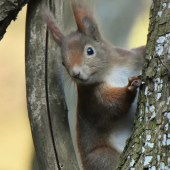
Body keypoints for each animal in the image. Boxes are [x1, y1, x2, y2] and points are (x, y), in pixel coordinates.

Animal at [41, 0, 145, 169]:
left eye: (90, 51)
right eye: (63, 62)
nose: (76, 73)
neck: (111, 71)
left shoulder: (131, 58)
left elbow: (141, 53)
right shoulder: (93, 96)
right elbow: (110, 106)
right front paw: (129, 89)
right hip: (102, 158)